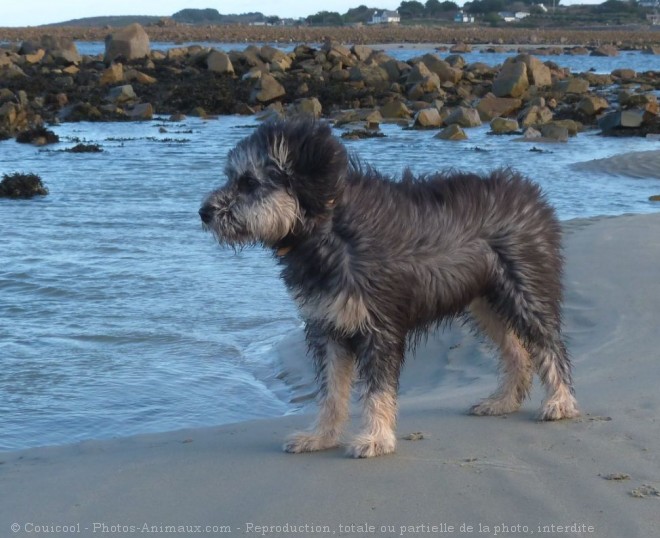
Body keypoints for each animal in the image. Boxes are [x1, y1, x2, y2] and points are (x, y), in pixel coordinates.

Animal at [200, 118, 576, 456]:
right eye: (231, 177)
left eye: (250, 182)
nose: (204, 212)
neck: (329, 228)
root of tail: (530, 192)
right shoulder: (327, 324)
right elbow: (331, 392)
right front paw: (321, 437)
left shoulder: (378, 326)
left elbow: (377, 390)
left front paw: (376, 438)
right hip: (484, 302)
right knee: (517, 352)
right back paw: (503, 401)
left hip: (525, 290)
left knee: (549, 345)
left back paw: (560, 402)